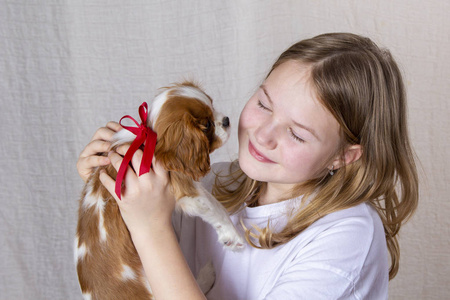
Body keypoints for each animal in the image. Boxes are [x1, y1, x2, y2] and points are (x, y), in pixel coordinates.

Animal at [78, 82, 246, 300]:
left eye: (212, 104)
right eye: (207, 125)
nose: (226, 120)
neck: (149, 139)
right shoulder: (186, 190)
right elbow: (218, 209)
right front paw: (233, 237)